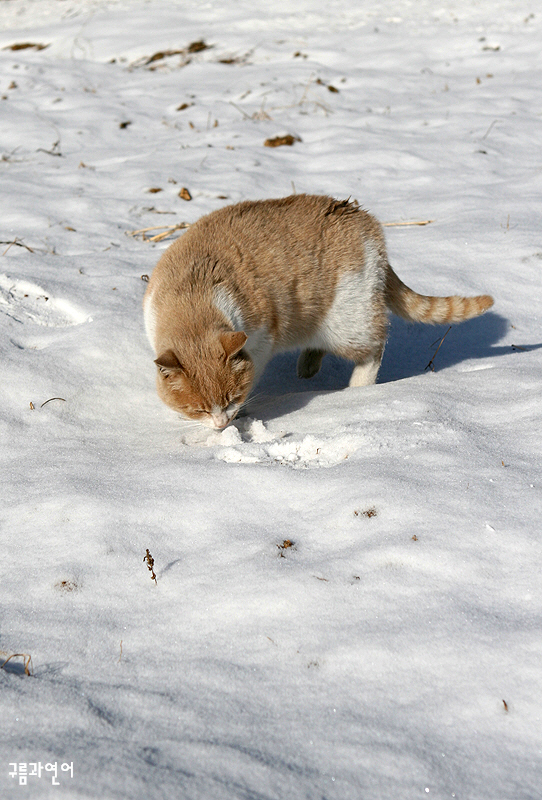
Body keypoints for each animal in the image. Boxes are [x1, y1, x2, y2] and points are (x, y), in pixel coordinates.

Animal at [142, 194, 496, 428]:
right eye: (198, 409)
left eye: (231, 399)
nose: (220, 424)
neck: (193, 295)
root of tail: (362, 217)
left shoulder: (261, 341)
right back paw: (308, 366)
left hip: (348, 321)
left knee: (376, 344)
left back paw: (357, 390)